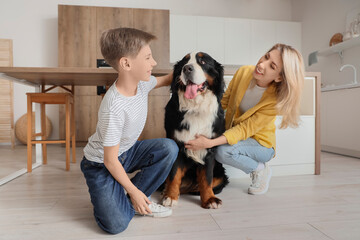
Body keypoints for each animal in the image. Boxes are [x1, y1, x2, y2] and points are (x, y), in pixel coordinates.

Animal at [161, 52, 228, 208]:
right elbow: (174, 174)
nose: (187, 68)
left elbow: (207, 178)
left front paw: (209, 198)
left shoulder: (208, 148)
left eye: (203, 62)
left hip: (220, 173)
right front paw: (170, 196)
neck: (195, 108)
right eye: (184, 63)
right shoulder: (177, 144)